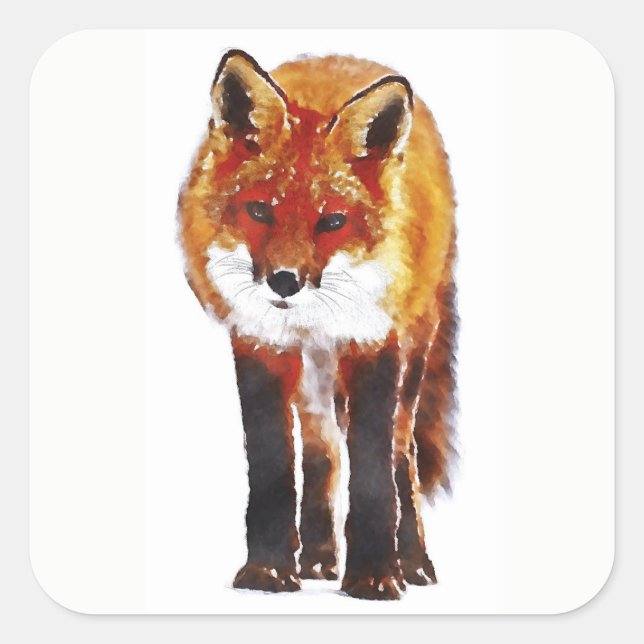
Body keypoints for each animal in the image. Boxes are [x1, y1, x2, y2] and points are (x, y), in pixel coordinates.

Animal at [178, 49, 457, 601]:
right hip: (314, 377)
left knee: (402, 453)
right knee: (321, 449)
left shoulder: (375, 342)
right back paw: (318, 557)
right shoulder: (260, 343)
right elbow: (272, 464)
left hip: (413, 350)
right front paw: (267, 571)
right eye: (259, 211)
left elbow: (372, 470)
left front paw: (375, 576)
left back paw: (413, 560)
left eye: (332, 222)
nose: (285, 281)